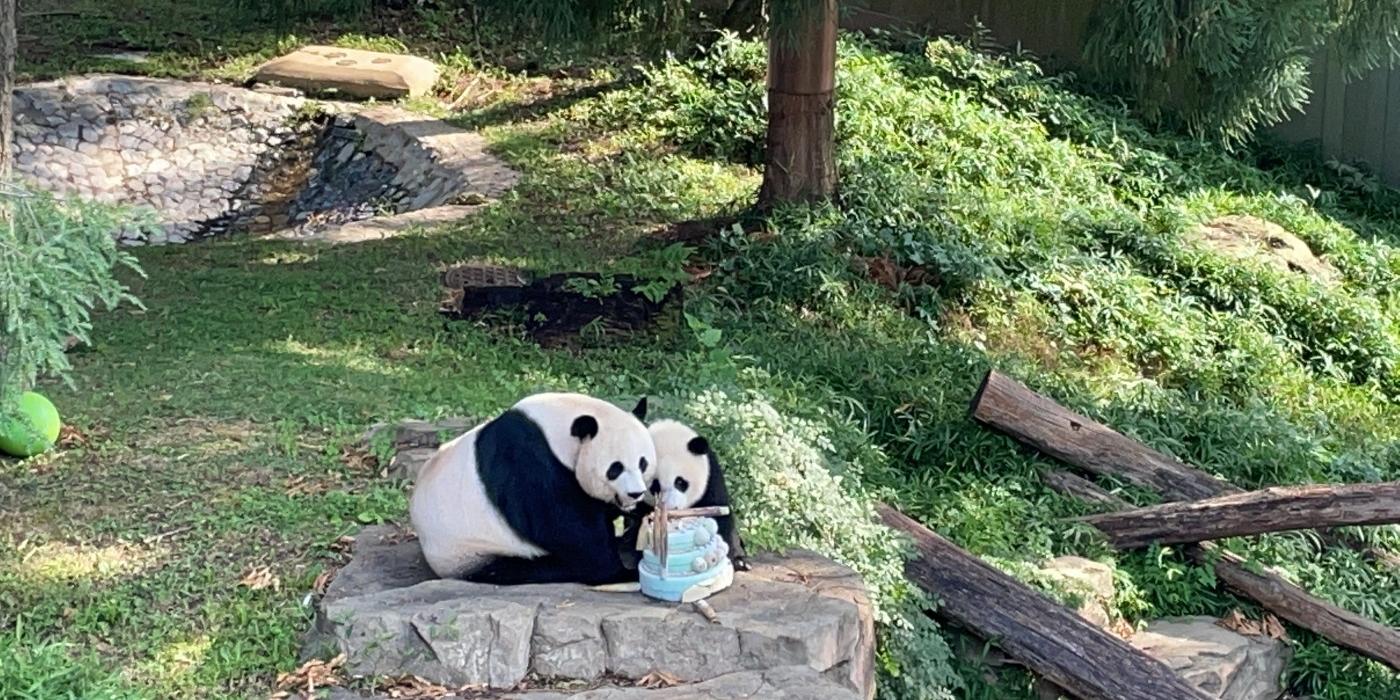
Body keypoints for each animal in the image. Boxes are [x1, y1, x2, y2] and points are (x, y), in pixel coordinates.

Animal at [408, 394, 655, 585]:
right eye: (615, 468)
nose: (635, 494)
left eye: (643, 463)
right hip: (475, 551)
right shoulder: (529, 464)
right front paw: (624, 570)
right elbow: (569, 528)